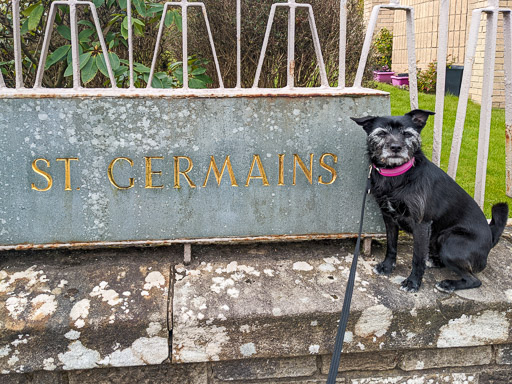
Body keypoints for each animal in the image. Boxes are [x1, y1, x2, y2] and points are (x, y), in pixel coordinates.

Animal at [352, 109, 508, 292]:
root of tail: (491, 239)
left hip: (450, 241)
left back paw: (448, 284)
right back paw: (434, 261)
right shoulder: (389, 217)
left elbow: (417, 258)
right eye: (382, 133)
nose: (396, 147)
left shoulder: (421, 224)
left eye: (407, 134)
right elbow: (391, 245)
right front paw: (387, 266)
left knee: (474, 280)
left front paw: (413, 282)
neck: (398, 176)